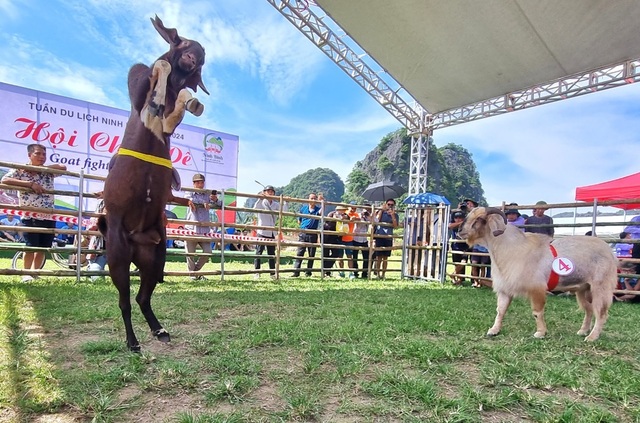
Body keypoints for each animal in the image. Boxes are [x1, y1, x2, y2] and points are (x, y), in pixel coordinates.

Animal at [99, 16, 208, 352]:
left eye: (201, 55)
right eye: (182, 43)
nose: (194, 57)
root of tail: (136, 240)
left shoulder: (169, 123)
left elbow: (175, 111)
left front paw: (188, 102)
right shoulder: (138, 94)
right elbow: (159, 69)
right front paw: (161, 84)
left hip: (155, 258)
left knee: (142, 297)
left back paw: (159, 329)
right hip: (118, 256)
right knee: (124, 301)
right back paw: (132, 341)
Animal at [458, 207, 616, 342]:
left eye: (480, 219)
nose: (460, 231)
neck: (510, 247)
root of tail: (610, 252)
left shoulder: (537, 288)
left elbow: (537, 312)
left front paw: (540, 333)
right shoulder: (505, 289)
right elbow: (500, 311)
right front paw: (493, 330)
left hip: (600, 287)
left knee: (601, 313)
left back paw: (592, 337)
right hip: (583, 289)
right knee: (589, 310)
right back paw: (582, 331)